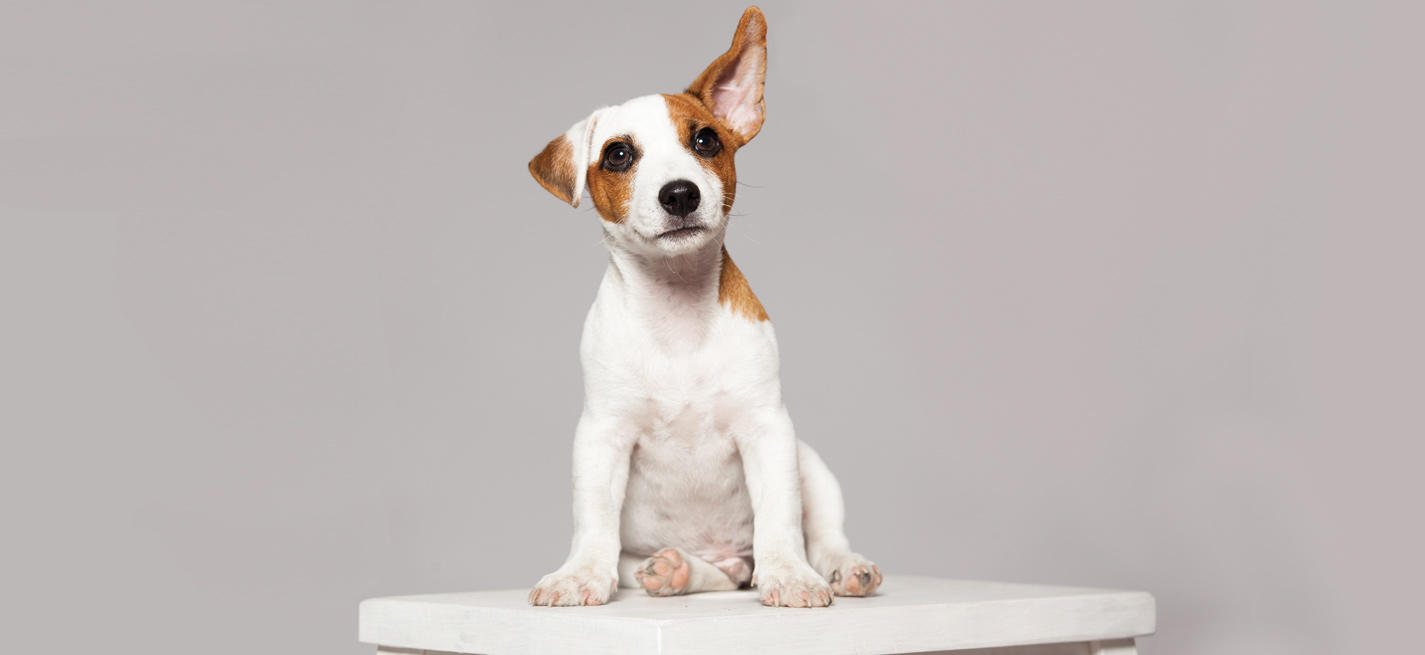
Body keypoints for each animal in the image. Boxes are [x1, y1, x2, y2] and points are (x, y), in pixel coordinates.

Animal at [524, 6, 877, 609]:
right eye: (618, 154)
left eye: (706, 140)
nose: (680, 194)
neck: (676, 307)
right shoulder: (601, 435)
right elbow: (593, 518)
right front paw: (579, 574)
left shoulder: (768, 429)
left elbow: (781, 518)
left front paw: (790, 575)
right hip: (653, 556)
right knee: (713, 574)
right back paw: (678, 571)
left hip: (811, 463)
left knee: (824, 534)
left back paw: (842, 568)